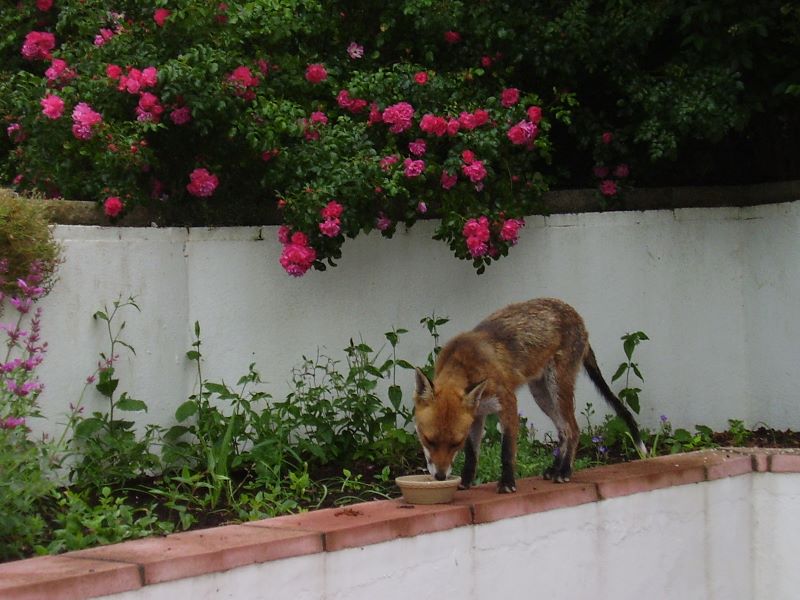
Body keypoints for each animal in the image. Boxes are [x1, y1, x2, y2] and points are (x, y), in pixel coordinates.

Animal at [413, 298, 647, 493]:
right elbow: (472, 454)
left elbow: (507, 451)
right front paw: (466, 481)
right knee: (563, 431)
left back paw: (564, 471)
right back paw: (555, 468)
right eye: (428, 440)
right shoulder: (477, 414)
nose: (440, 477)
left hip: (557, 387)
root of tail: (577, 316)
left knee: (573, 429)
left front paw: (507, 483)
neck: (465, 364)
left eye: (455, 444)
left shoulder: (507, 402)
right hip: (541, 395)